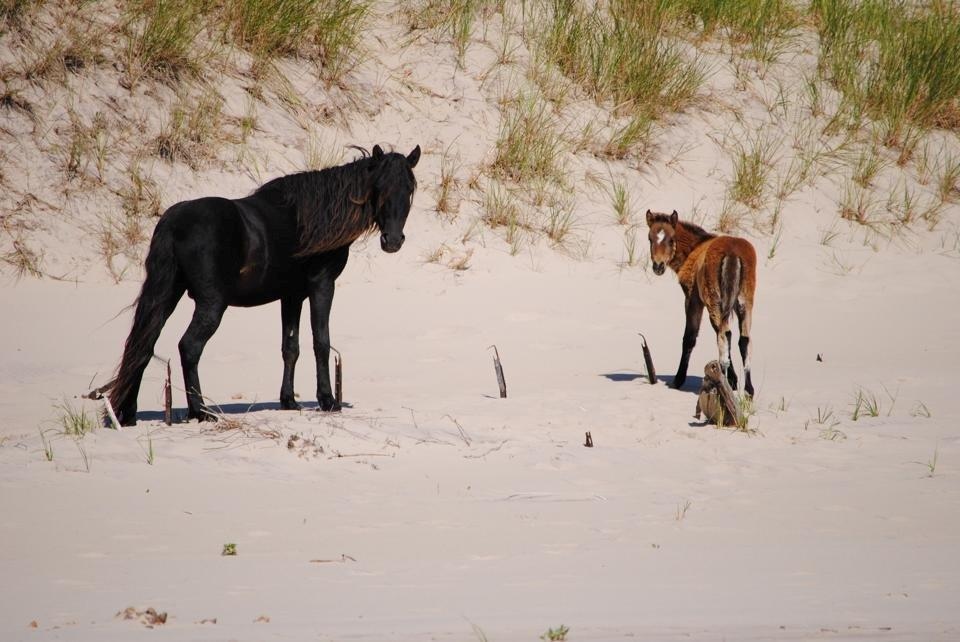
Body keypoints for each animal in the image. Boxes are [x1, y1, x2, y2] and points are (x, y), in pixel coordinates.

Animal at [107, 145, 418, 424]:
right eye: (380, 187)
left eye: (409, 189)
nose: (393, 241)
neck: (317, 216)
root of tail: (173, 223)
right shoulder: (321, 285)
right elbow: (321, 342)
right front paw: (328, 400)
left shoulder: (291, 295)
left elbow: (290, 347)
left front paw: (289, 401)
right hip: (211, 304)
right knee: (189, 347)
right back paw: (200, 412)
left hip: (167, 294)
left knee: (143, 345)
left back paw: (128, 413)